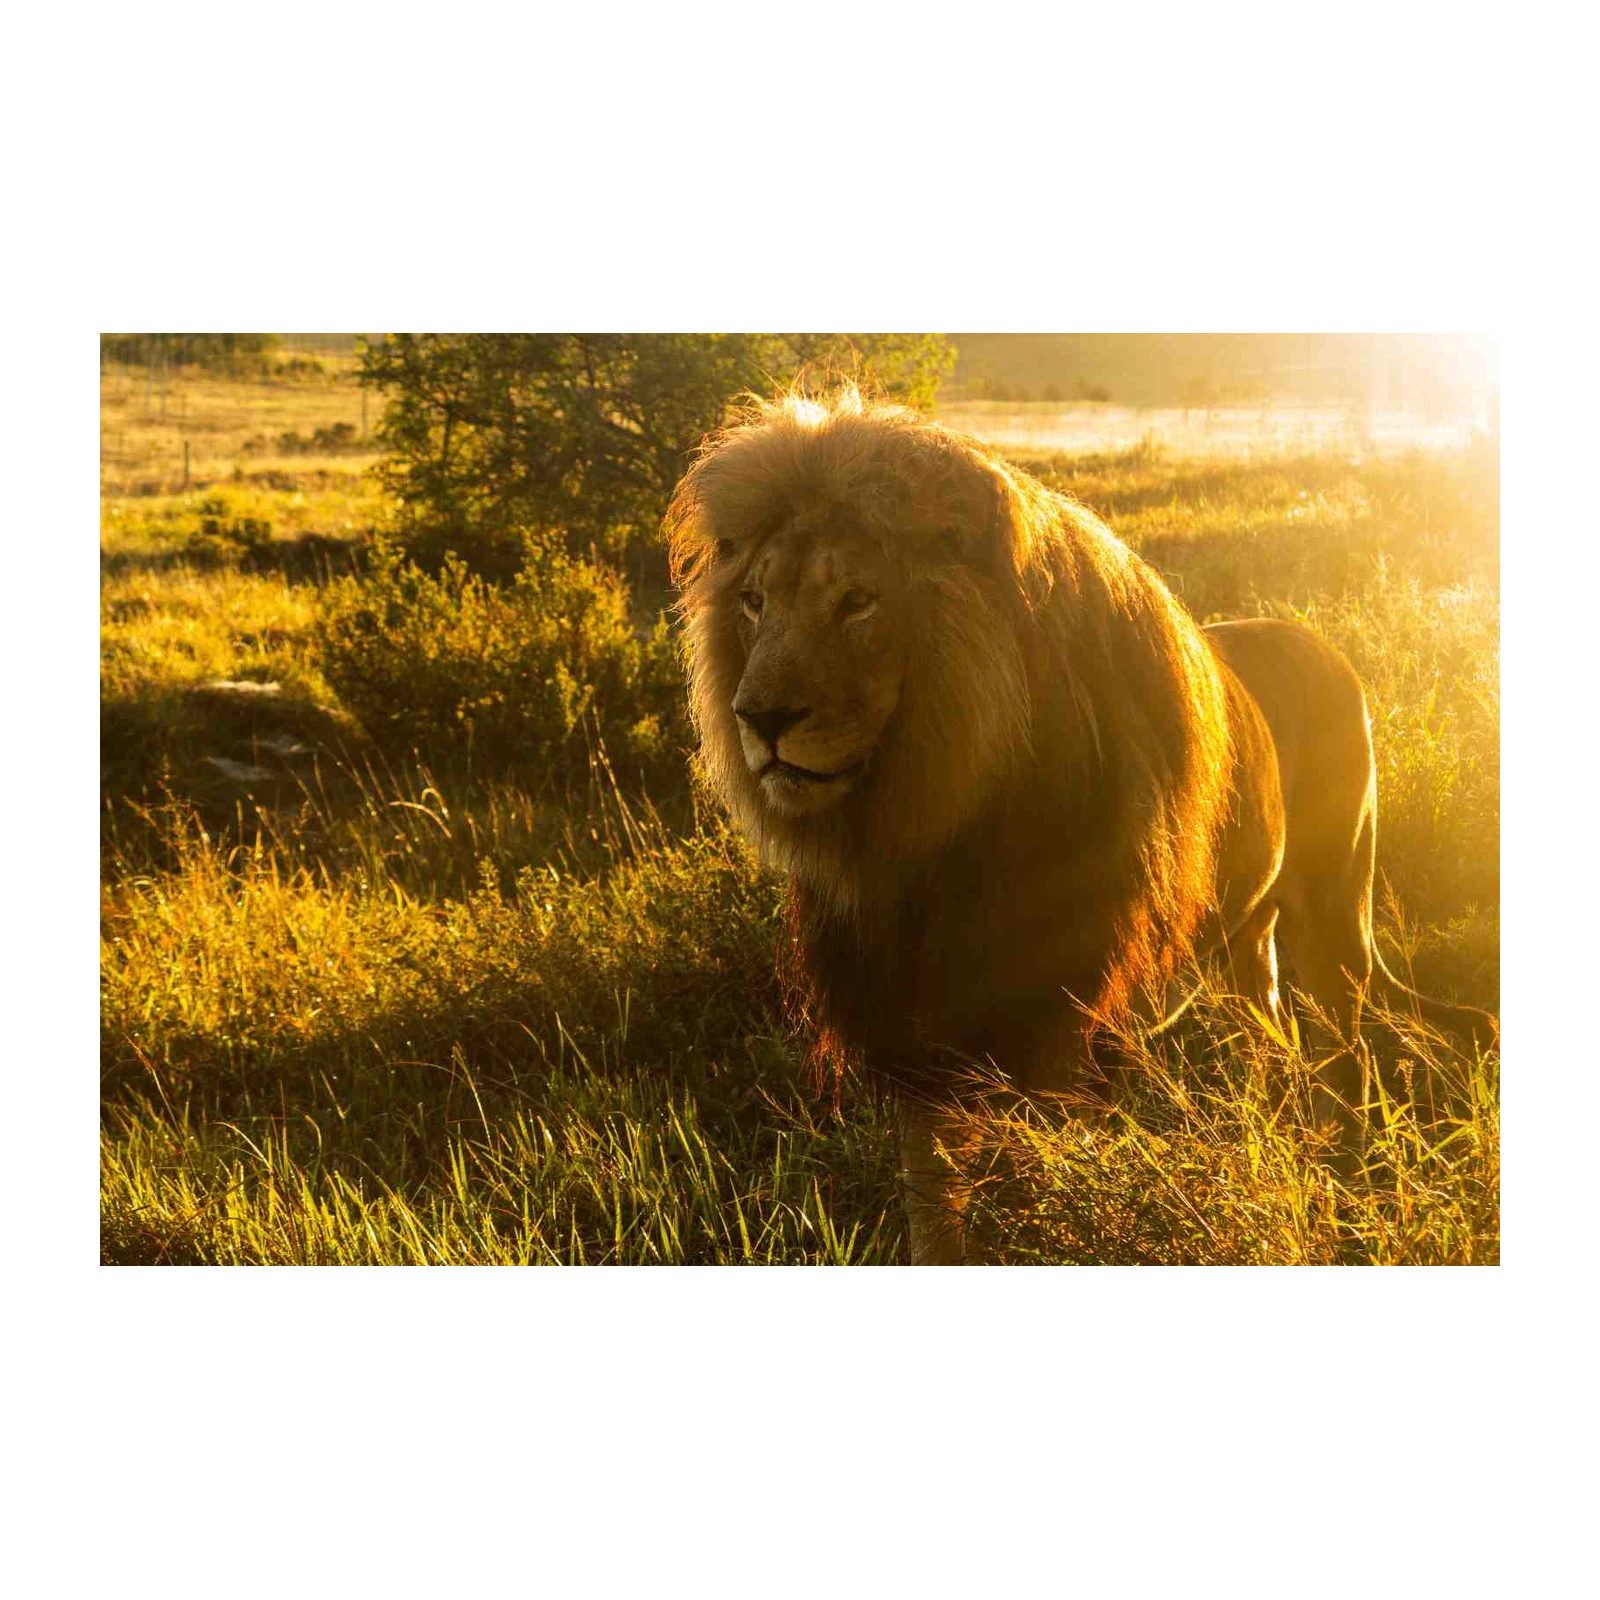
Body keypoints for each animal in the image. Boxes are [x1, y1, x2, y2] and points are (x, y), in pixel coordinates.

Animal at [666, 388, 1498, 1266]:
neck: (929, 835)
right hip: (1246, 935)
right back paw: (1275, 1141)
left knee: (1350, 1059)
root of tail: (1318, 640)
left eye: (857, 600)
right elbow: (936, 1209)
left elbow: (1041, 1194)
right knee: (1271, 1035)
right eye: (754, 603)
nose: (760, 719)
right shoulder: (921, 1033)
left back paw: (1342, 1186)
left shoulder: (1060, 1024)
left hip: (1338, 916)